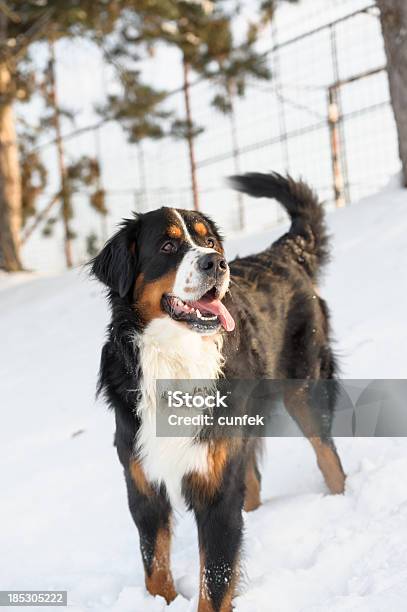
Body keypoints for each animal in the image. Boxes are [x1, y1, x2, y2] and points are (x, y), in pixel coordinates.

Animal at [91, 173, 346, 612]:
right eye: (168, 246)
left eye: (209, 241)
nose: (216, 262)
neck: (175, 359)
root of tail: (282, 253)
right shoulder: (143, 488)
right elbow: (155, 571)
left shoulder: (215, 495)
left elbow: (215, 581)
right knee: (254, 480)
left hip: (305, 390)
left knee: (329, 460)